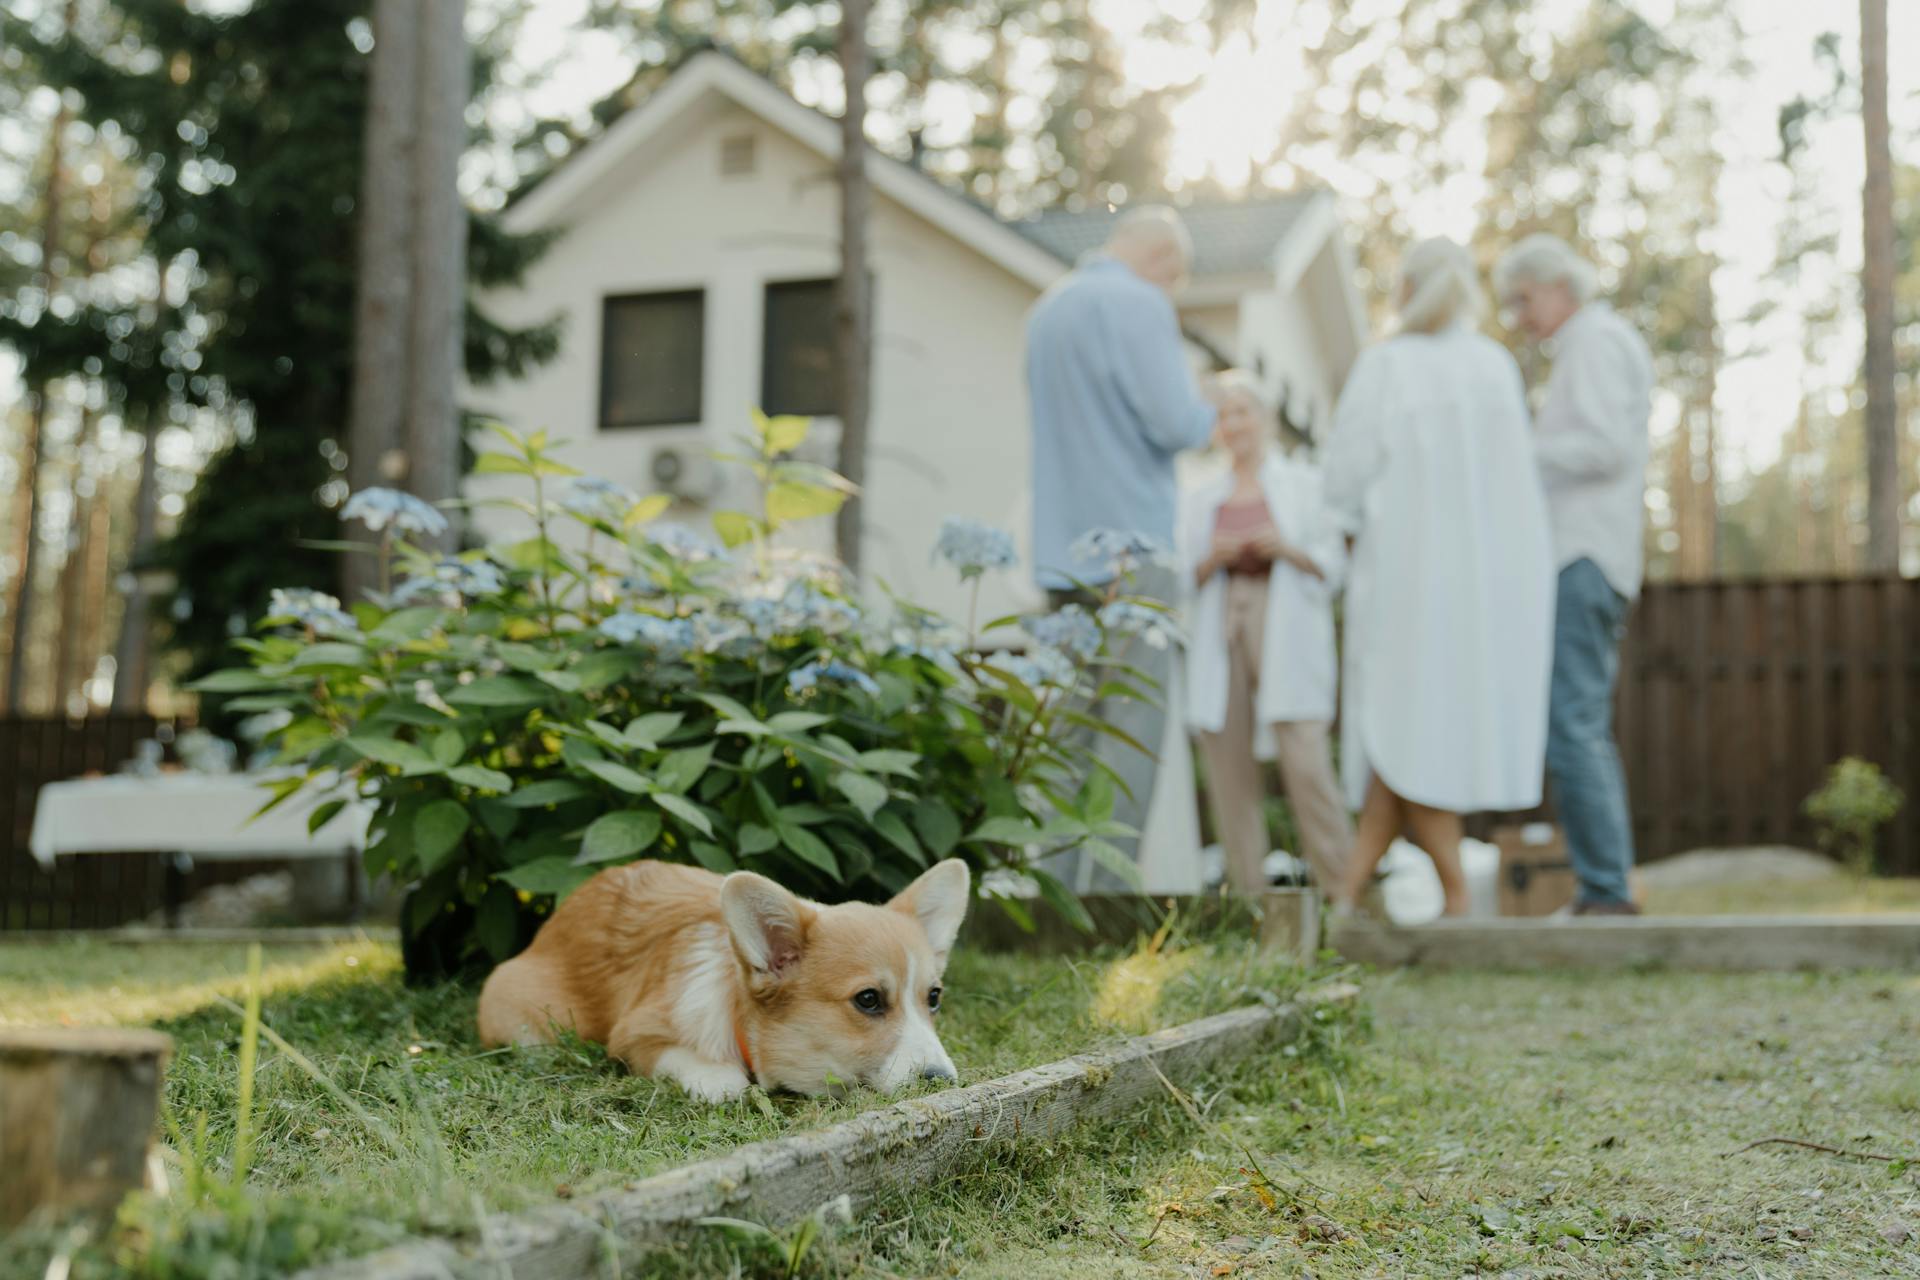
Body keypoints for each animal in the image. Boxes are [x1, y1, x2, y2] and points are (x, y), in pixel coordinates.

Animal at [472, 859, 967, 1105]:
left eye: (933, 997)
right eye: (868, 1000)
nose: (942, 1081)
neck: (737, 1013)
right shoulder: (637, 1035)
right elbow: (721, 1081)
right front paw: (721, 1078)